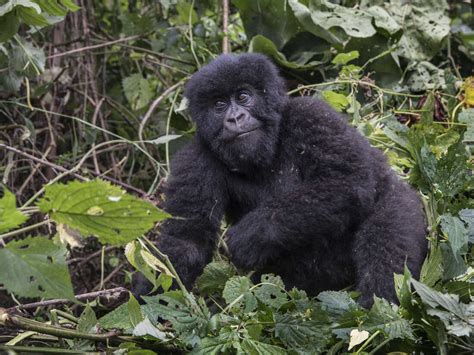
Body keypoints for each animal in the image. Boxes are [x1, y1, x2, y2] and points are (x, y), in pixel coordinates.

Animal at [132, 53, 426, 308]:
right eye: (219, 105)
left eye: (243, 96)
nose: (235, 117)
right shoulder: (196, 158)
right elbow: (186, 240)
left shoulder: (311, 114)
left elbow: (349, 181)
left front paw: (253, 234)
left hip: (405, 205)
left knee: (385, 246)